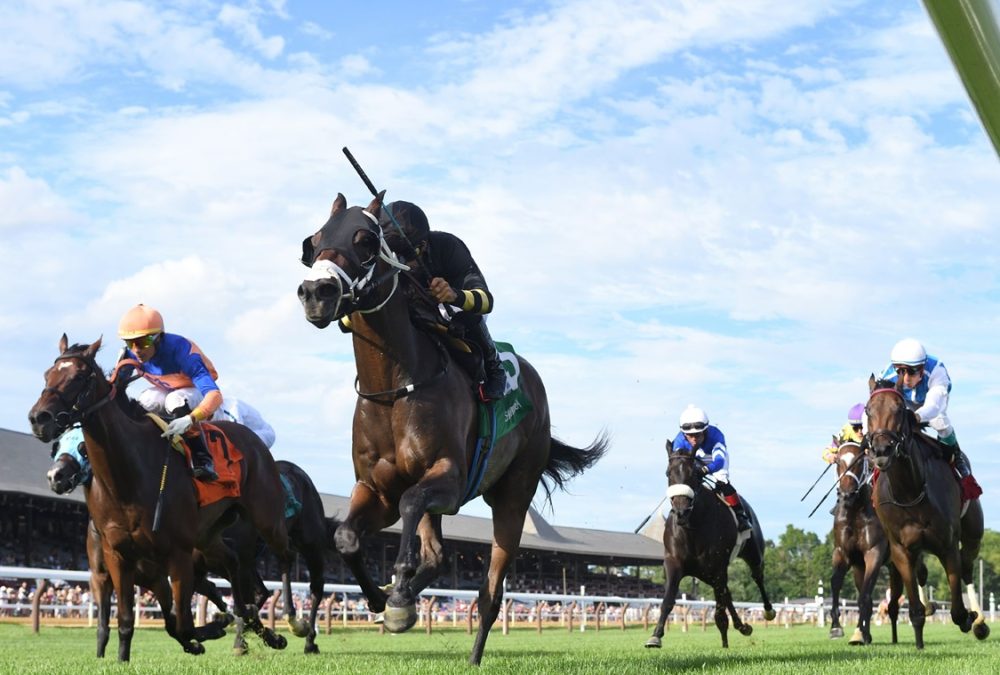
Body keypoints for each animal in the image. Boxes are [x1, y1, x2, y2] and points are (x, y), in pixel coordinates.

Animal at [28, 338, 308, 660]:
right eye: (47, 375)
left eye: (77, 377)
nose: (38, 418)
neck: (128, 478)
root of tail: (252, 437)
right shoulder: (117, 560)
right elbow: (127, 621)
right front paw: (121, 660)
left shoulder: (176, 557)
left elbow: (182, 624)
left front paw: (212, 628)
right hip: (209, 536)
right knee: (236, 567)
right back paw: (260, 629)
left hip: (265, 518)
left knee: (285, 556)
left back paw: (293, 621)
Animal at [294, 193, 608, 668]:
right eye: (314, 241)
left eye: (365, 240)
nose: (316, 293)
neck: (395, 388)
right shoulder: (375, 488)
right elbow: (347, 535)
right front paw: (382, 597)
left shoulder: (450, 478)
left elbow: (410, 505)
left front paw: (397, 596)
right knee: (438, 555)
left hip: (513, 496)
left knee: (490, 589)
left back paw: (471, 653)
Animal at [644, 446, 776, 652]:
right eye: (668, 473)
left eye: (693, 474)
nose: (681, 511)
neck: (692, 528)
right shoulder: (674, 563)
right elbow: (668, 600)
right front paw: (655, 636)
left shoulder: (718, 567)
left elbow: (720, 611)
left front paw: (725, 645)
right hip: (707, 574)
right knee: (727, 593)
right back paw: (743, 626)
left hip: (751, 554)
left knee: (757, 577)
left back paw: (768, 612)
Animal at [864, 378, 988, 648]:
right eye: (868, 410)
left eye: (899, 409)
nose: (881, 450)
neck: (909, 493)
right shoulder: (901, 549)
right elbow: (915, 609)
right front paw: (919, 643)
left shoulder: (948, 544)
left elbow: (957, 609)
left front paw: (969, 618)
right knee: (922, 573)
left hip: (973, 535)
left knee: (967, 567)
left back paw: (980, 623)